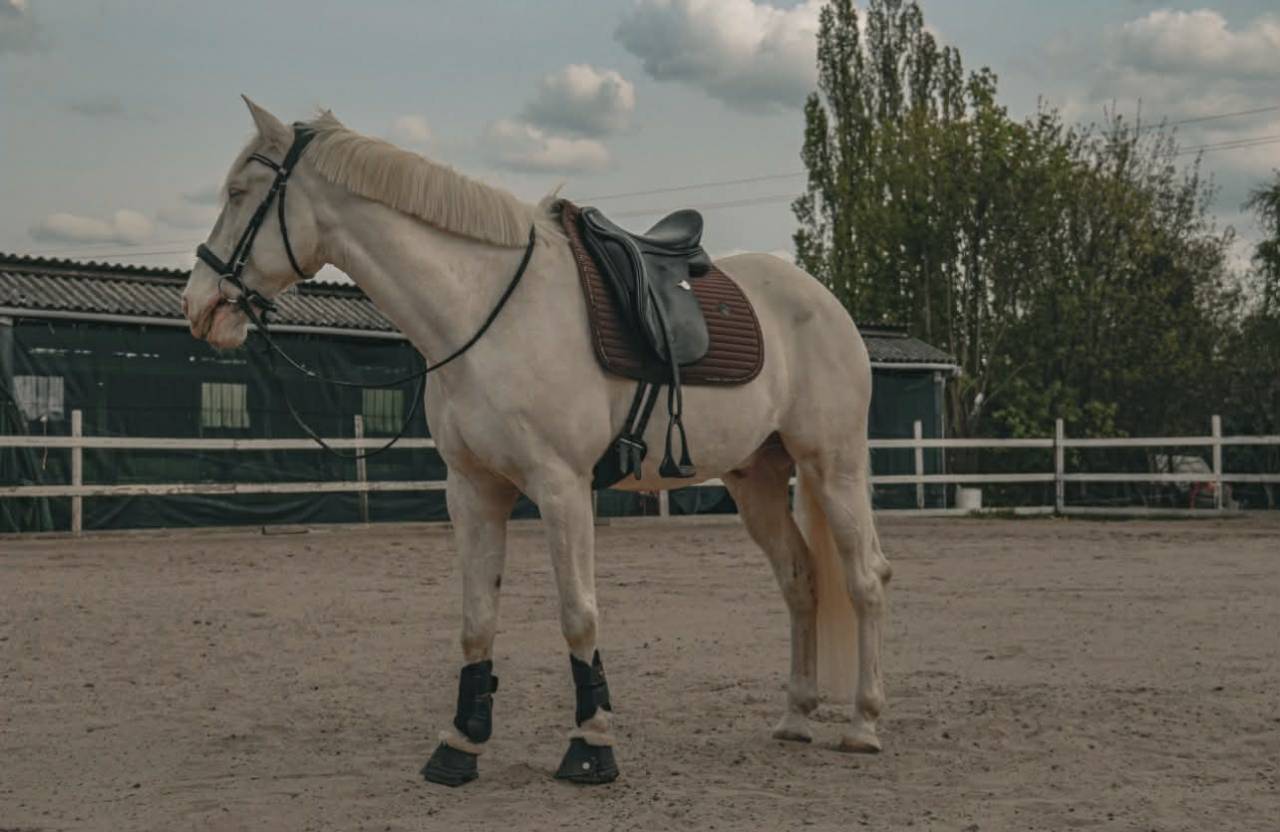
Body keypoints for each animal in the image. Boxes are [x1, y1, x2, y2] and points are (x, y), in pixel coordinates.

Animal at [181, 97, 892, 786]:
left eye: (240, 192)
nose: (198, 305)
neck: (484, 312)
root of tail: (824, 302)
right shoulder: (472, 491)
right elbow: (476, 622)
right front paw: (460, 746)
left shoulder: (562, 487)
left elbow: (579, 614)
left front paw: (591, 747)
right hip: (757, 479)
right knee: (801, 580)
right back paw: (796, 716)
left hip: (832, 467)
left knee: (864, 579)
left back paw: (863, 723)